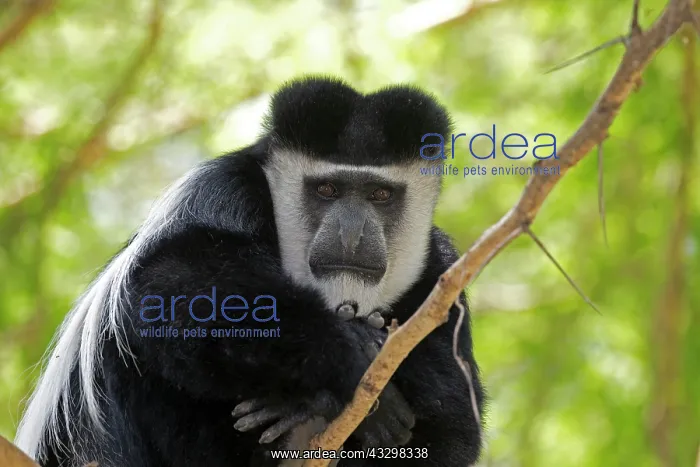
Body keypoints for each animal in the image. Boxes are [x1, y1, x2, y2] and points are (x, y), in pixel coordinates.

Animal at [15, 76, 485, 466]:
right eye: (327, 189)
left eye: (380, 194)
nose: (351, 232)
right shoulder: (225, 191)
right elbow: (168, 285)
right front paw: (352, 353)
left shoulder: (440, 266)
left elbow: (456, 425)